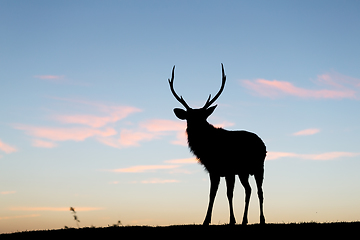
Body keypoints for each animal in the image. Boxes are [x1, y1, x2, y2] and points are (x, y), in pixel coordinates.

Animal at [167, 63, 266, 225]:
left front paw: (232, 220)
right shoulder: (213, 170)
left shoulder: (229, 169)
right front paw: (206, 220)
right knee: (249, 190)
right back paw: (245, 220)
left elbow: (229, 194)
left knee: (259, 191)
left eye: (202, 117)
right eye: (189, 118)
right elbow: (212, 194)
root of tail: (263, 144)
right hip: (244, 172)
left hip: (259, 167)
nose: (194, 128)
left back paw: (262, 219)